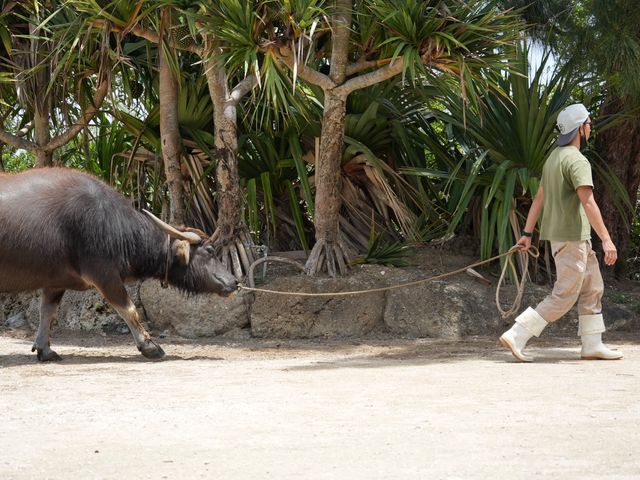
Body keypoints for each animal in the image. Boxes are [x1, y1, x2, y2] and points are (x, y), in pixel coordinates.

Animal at [0, 168, 238, 360]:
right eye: (210, 251)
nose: (234, 282)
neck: (113, 224)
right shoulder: (104, 275)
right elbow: (130, 309)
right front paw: (150, 347)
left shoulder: (55, 283)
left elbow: (47, 313)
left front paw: (45, 350)